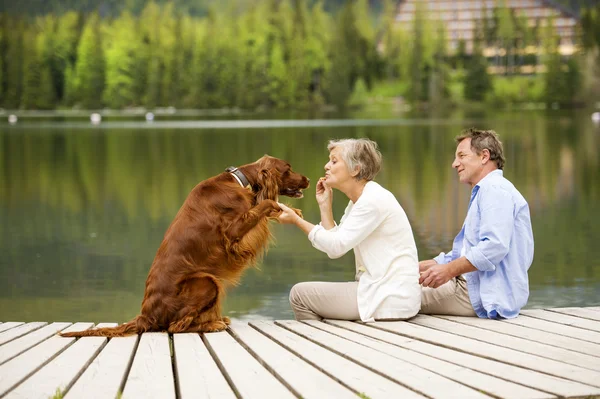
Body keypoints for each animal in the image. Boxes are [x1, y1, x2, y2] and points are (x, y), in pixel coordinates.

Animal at [62, 156, 310, 338]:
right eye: (288, 168)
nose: (307, 179)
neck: (240, 180)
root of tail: (146, 315)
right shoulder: (233, 232)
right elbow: (266, 203)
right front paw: (282, 208)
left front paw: (293, 212)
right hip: (207, 282)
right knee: (175, 327)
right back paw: (213, 324)